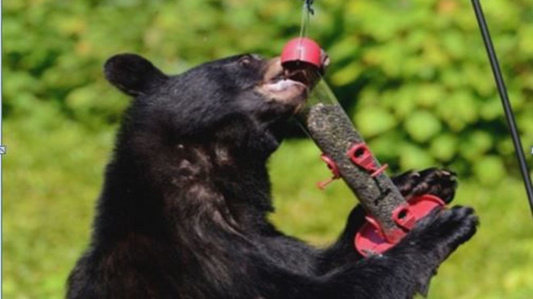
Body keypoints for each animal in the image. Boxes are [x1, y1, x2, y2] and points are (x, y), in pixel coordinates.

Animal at [67, 52, 478, 298]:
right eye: (245, 60)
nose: (287, 60)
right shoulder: (204, 263)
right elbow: (321, 291)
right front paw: (442, 226)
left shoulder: (263, 237)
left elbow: (314, 262)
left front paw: (420, 183)